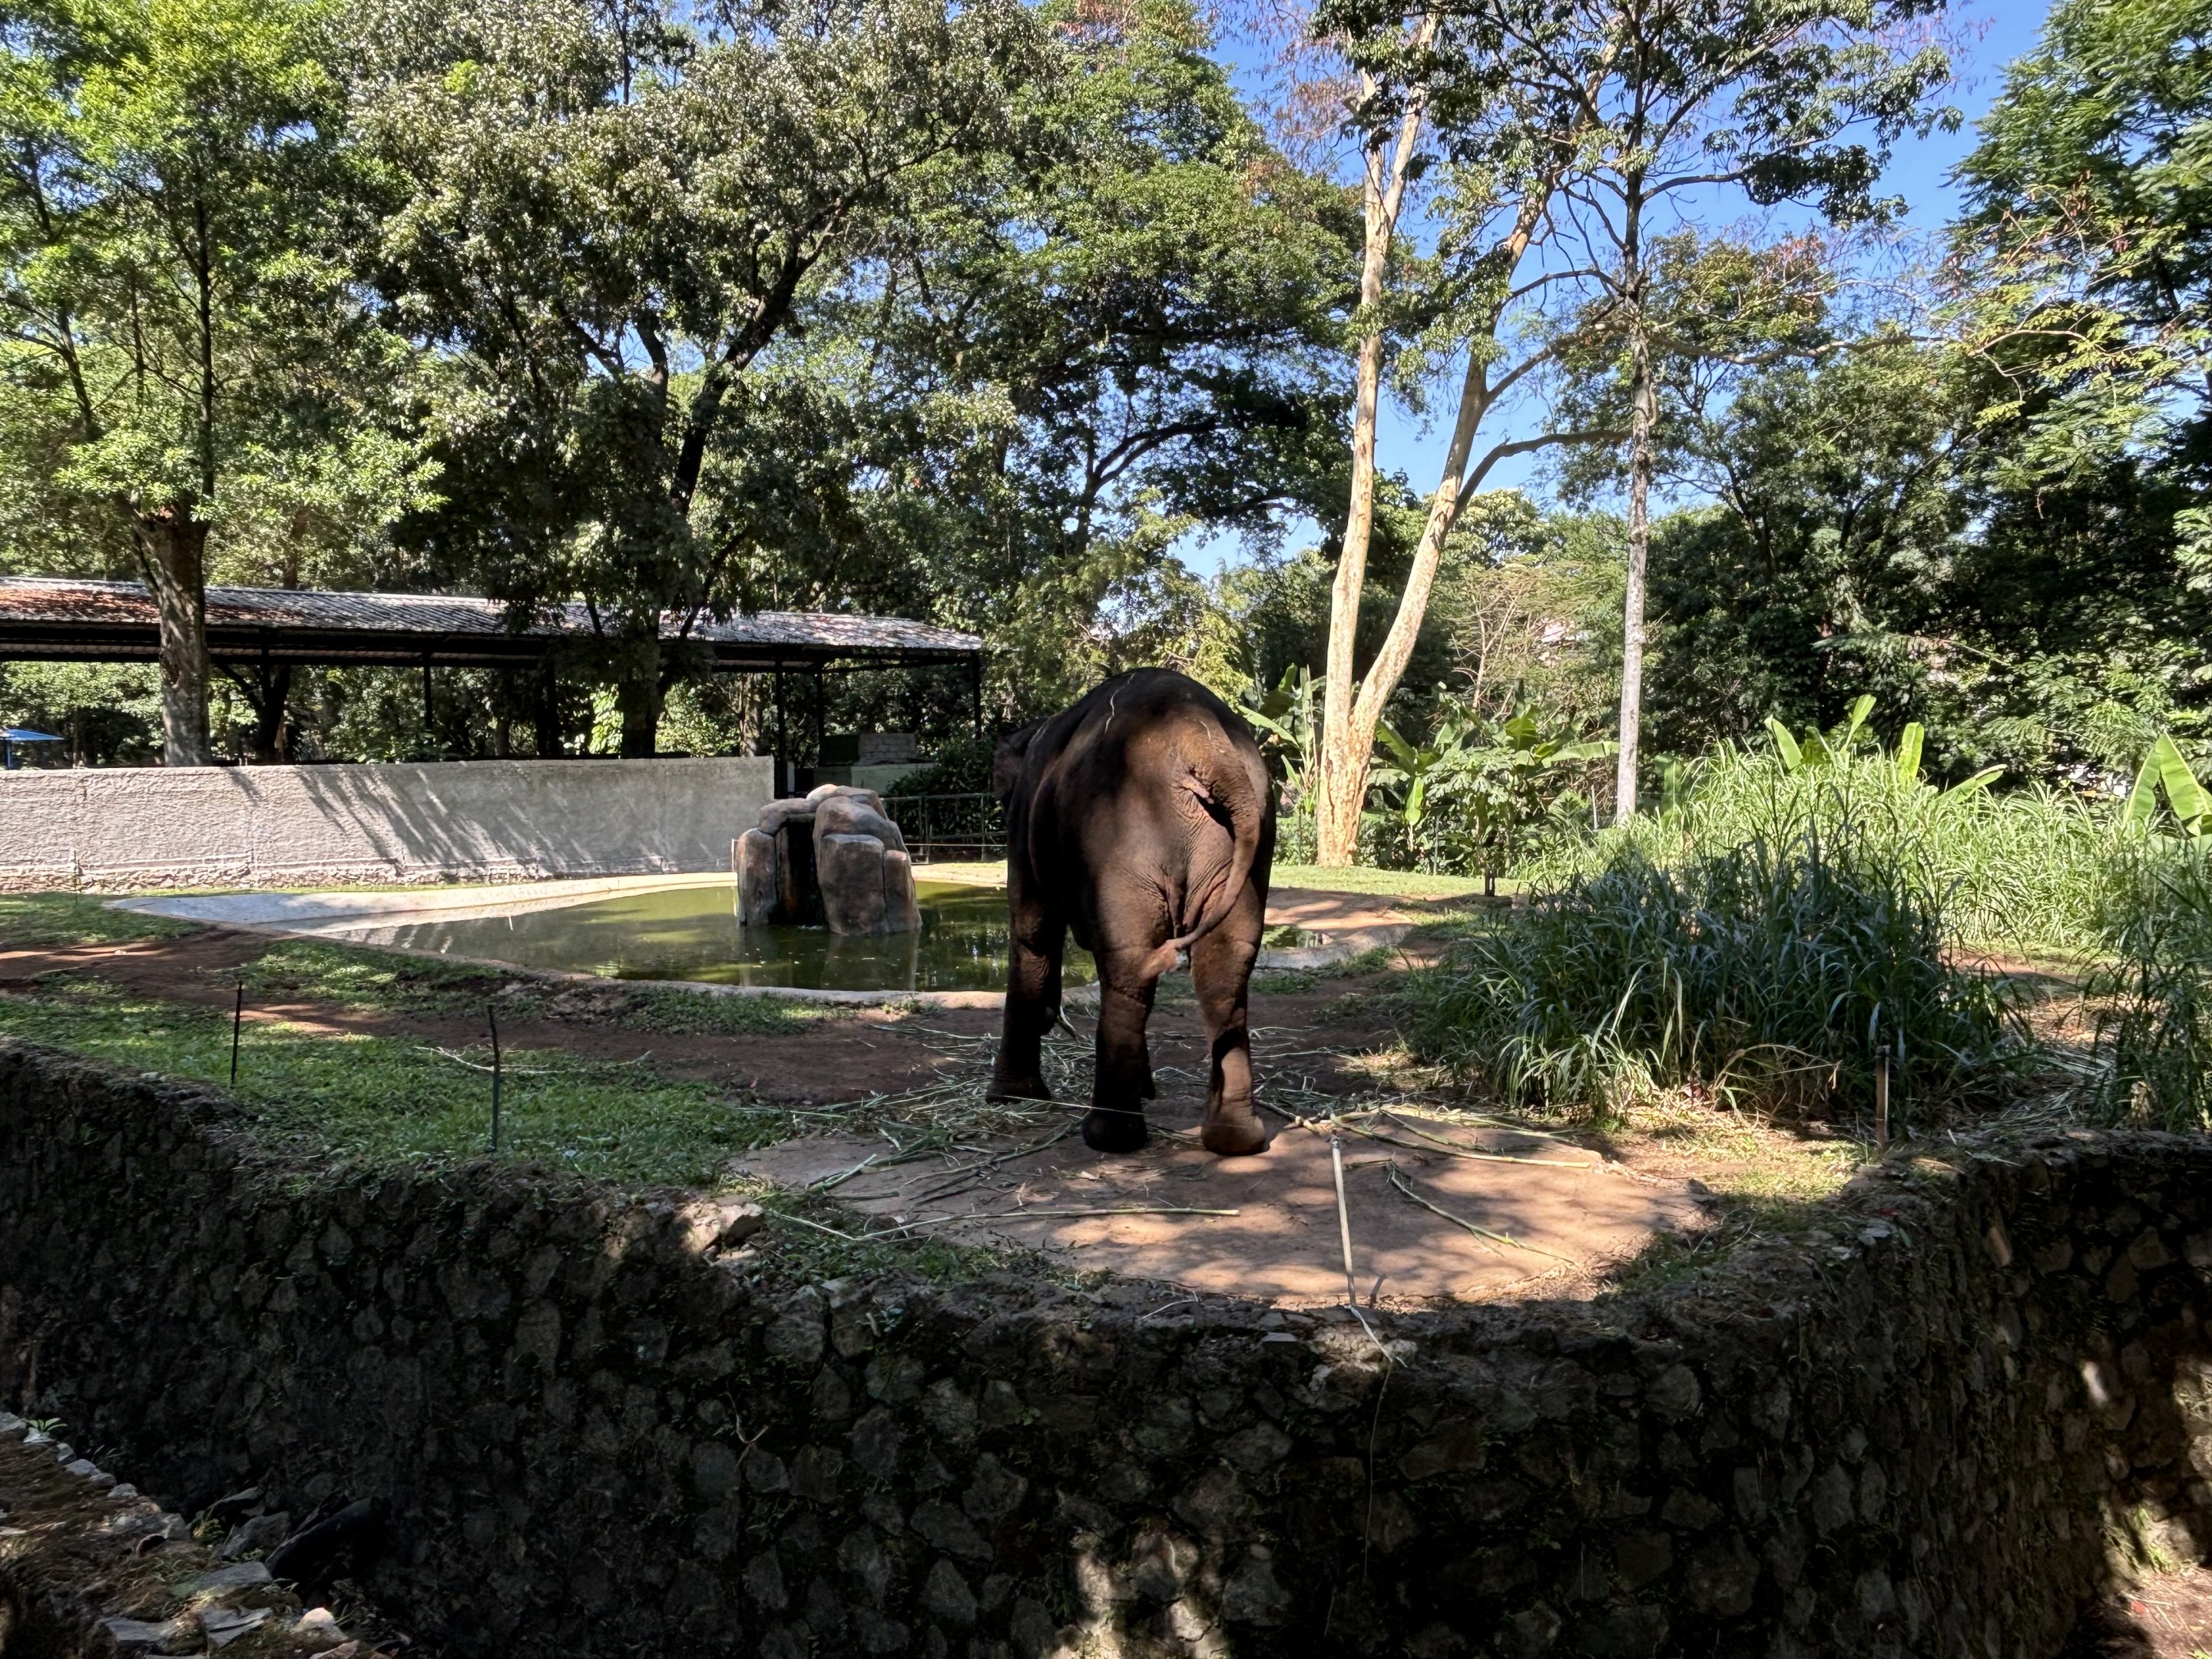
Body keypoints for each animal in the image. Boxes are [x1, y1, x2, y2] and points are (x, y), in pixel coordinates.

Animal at [987, 668, 1276, 1155]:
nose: (1054, 1018)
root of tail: (1206, 747)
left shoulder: (1023, 824)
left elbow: (1032, 934)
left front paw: (1011, 1098)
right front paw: (1147, 1089)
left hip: (1122, 836)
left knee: (1129, 963)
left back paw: (1109, 1137)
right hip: (1243, 843)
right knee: (1225, 964)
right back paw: (1235, 1140)